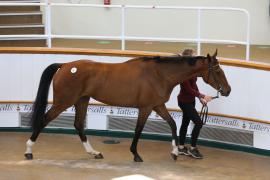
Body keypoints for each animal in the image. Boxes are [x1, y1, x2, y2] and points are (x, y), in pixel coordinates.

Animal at [24, 50, 230, 162]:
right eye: (218, 70)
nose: (228, 90)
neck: (159, 74)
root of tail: (65, 65)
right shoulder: (146, 108)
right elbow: (138, 129)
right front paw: (136, 154)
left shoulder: (158, 106)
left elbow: (172, 124)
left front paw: (174, 152)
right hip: (63, 102)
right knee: (44, 120)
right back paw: (28, 151)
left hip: (82, 100)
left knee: (78, 125)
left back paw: (94, 153)